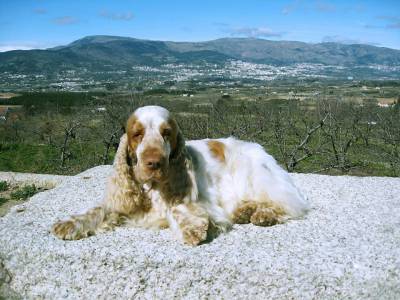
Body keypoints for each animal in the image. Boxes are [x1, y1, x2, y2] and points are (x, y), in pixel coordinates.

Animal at [52, 105, 310, 246]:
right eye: (137, 134)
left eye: (166, 133)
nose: (154, 162)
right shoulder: (122, 203)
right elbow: (97, 209)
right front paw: (68, 223)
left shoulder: (197, 201)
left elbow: (177, 209)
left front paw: (192, 228)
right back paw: (245, 211)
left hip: (255, 174)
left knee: (288, 204)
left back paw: (263, 214)